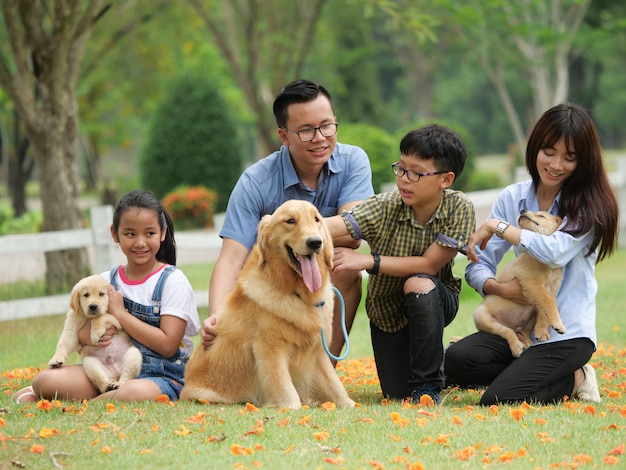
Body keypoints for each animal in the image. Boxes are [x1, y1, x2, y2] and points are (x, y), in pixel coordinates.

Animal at [180, 200, 354, 410]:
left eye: (316, 219)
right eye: (290, 220)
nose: (315, 242)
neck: (297, 293)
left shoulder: (317, 350)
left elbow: (334, 384)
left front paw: (348, 403)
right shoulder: (270, 349)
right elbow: (285, 389)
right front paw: (288, 406)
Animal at [472, 209, 564, 356]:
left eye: (541, 216)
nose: (523, 210)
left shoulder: (550, 289)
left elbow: (545, 309)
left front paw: (542, 331)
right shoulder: (533, 283)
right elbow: (549, 303)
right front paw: (558, 324)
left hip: (528, 319)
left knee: (522, 331)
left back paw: (526, 341)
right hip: (483, 317)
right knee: (506, 331)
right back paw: (516, 347)